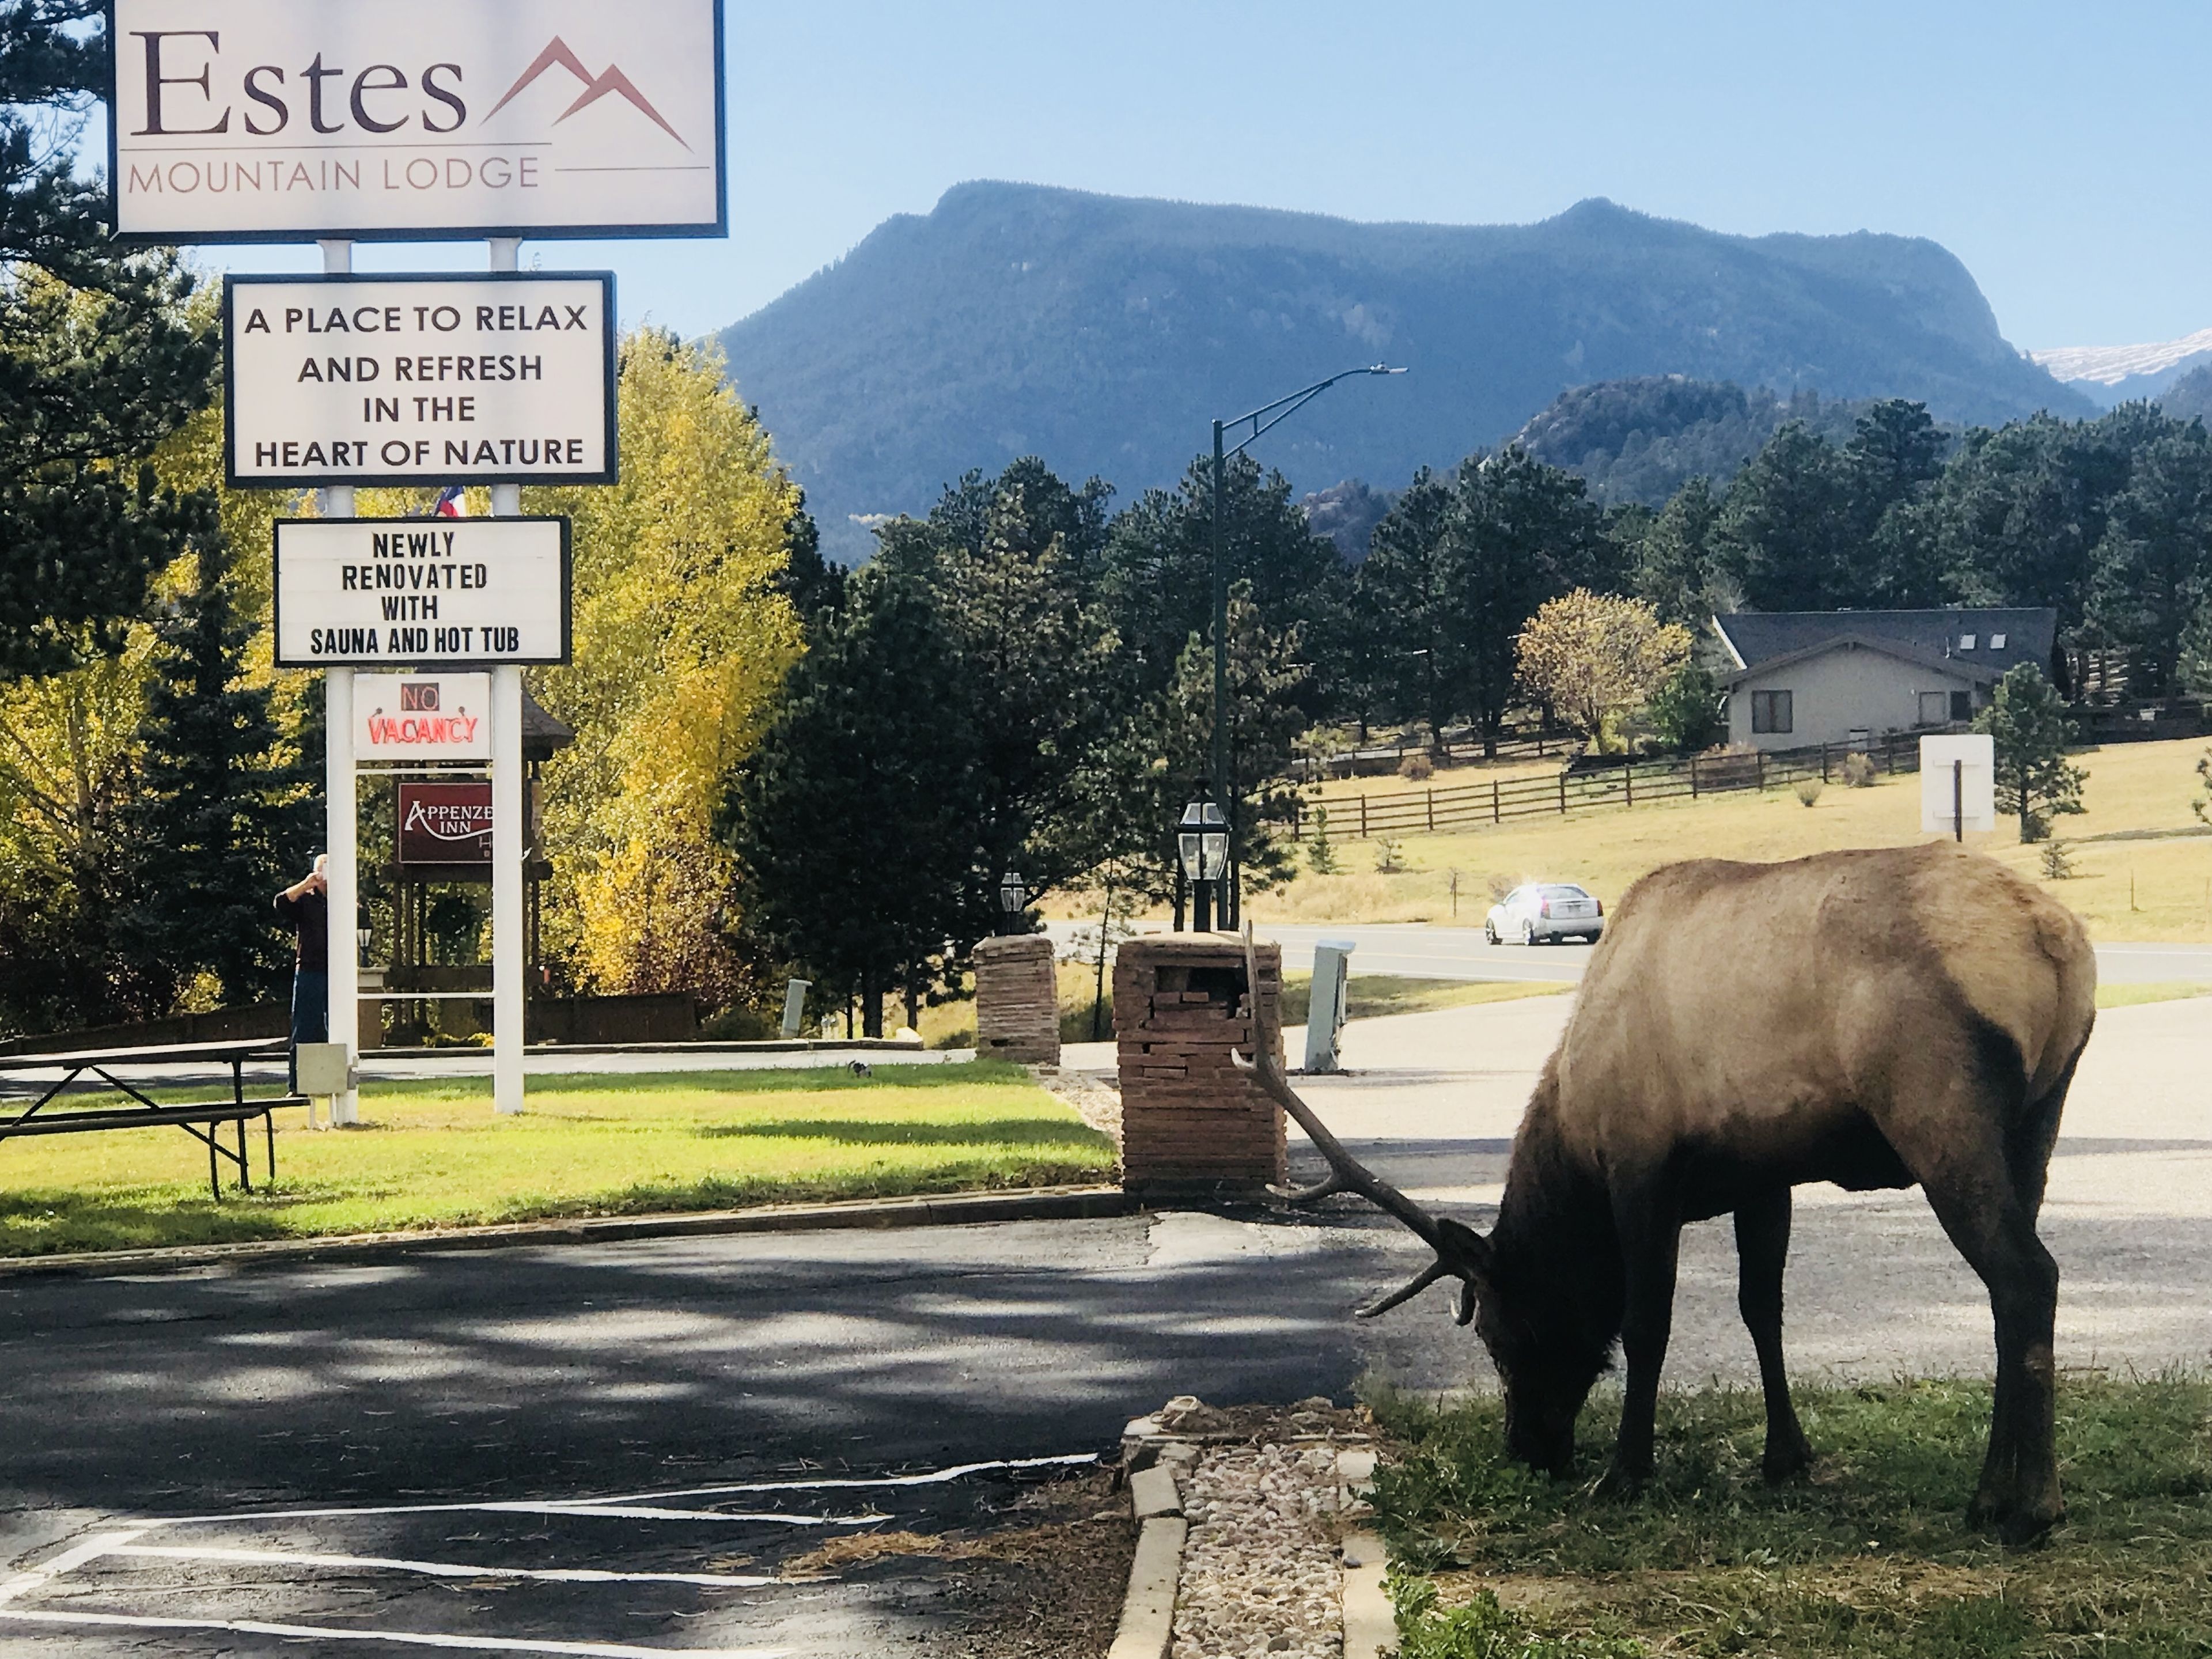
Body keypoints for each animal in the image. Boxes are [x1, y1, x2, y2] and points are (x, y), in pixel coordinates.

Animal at [1236, 842, 2097, 1543]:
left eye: (1500, 1335)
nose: (1527, 1451)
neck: (1576, 1121)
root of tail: (2057, 946)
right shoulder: (1763, 1175)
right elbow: (1761, 1310)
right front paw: (1785, 1456)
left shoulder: (1641, 1163)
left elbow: (1646, 1322)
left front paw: (1624, 1471)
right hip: (2038, 1118)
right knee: (2013, 1291)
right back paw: (1993, 1495)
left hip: (1936, 1104)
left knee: (2027, 1276)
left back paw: (2030, 1507)